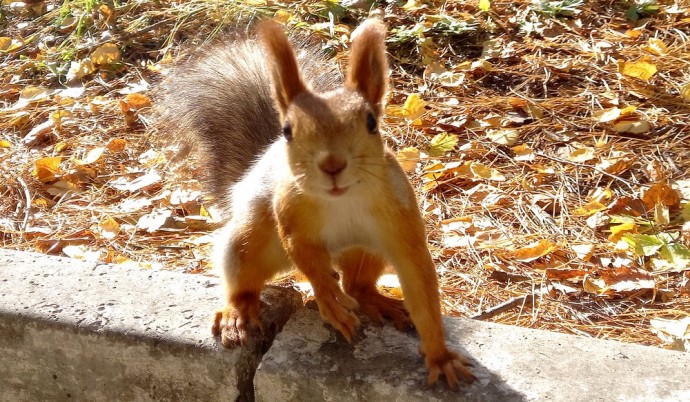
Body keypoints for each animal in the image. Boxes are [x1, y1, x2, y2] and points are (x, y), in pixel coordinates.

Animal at [159, 18, 476, 390]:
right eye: (287, 130)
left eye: (371, 122)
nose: (332, 164)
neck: (343, 200)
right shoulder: (291, 215)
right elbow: (306, 257)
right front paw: (329, 299)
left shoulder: (402, 225)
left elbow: (421, 286)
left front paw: (441, 358)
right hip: (249, 239)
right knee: (243, 276)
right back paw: (238, 312)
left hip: (368, 251)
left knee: (356, 283)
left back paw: (375, 300)